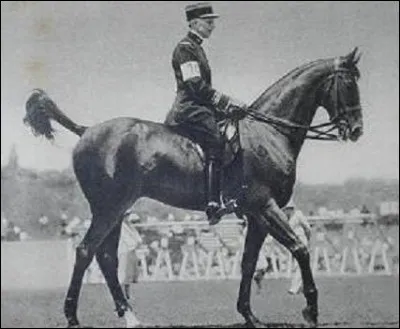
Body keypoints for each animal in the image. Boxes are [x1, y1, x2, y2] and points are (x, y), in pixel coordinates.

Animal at [23, 47, 364, 326]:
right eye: (349, 84)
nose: (357, 130)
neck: (268, 133)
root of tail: (86, 131)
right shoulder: (265, 207)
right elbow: (300, 248)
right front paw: (311, 310)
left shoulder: (255, 217)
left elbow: (248, 262)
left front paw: (249, 315)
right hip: (108, 209)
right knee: (85, 251)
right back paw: (73, 316)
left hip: (117, 211)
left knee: (106, 257)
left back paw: (130, 315)